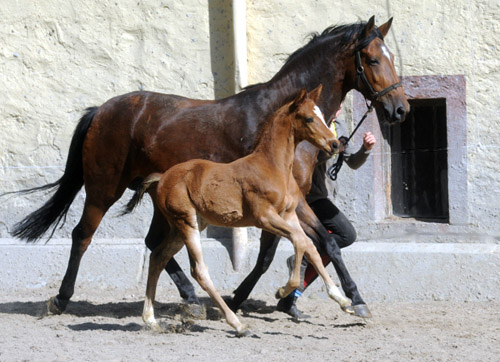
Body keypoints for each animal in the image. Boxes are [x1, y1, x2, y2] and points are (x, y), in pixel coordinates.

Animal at [126, 85, 352, 336]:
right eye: (309, 118)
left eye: (322, 114)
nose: (335, 144)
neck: (273, 167)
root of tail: (162, 178)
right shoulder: (265, 217)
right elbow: (300, 241)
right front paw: (283, 290)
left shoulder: (289, 215)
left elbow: (310, 246)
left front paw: (343, 301)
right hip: (187, 224)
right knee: (199, 271)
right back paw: (237, 323)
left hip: (183, 227)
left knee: (158, 257)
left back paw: (151, 319)